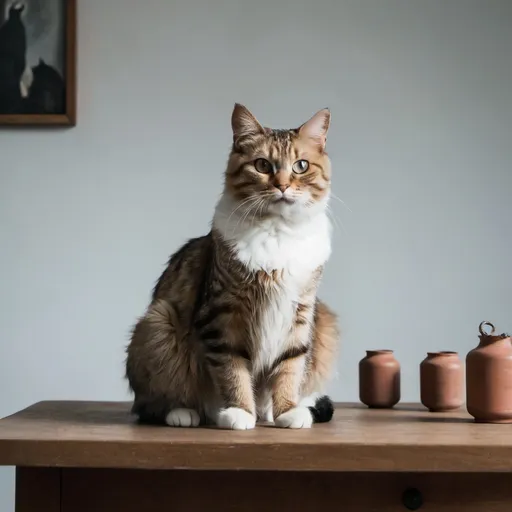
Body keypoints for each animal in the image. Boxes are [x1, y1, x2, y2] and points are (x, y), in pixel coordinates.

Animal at [124, 103, 340, 428]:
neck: (278, 234)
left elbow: (290, 368)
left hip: (324, 320)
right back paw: (184, 413)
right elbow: (233, 371)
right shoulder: (223, 316)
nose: (282, 185)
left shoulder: (301, 315)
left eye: (301, 166)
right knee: (151, 403)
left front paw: (287, 411)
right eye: (262, 165)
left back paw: (271, 411)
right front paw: (239, 412)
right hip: (158, 324)